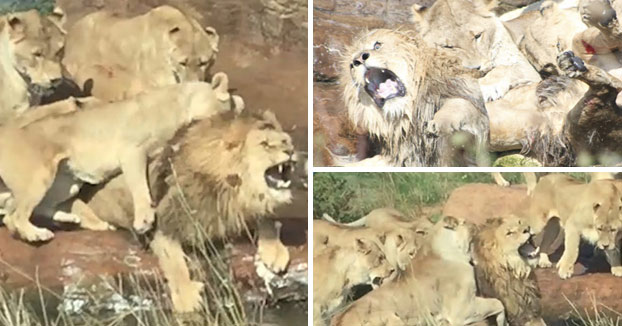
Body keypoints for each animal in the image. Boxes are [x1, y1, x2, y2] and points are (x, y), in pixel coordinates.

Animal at [0, 74, 243, 242]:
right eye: (225, 112)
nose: (226, 130)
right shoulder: (131, 150)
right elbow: (139, 186)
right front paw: (144, 220)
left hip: (66, 183)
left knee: (37, 207)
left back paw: (75, 219)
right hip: (38, 177)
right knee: (14, 215)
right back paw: (37, 234)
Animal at [332, 218, 508, 326]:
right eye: (464, 222)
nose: (476, 224)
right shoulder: (461, 311)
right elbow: (498, 303)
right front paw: (503, 322)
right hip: (393, 319)